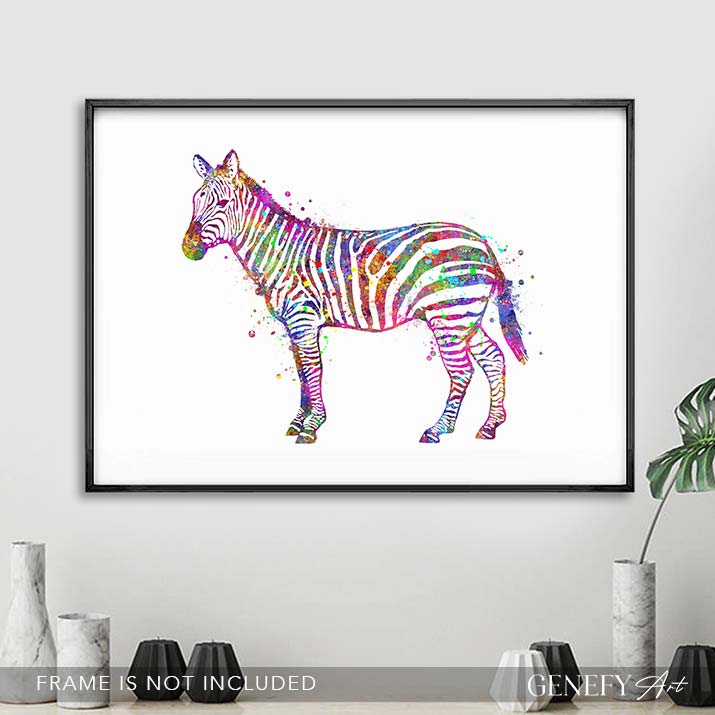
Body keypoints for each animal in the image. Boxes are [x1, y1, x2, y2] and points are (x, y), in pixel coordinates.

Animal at [182, 150, 528, 444]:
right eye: (195, 200)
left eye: (223, 203)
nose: (189, 248)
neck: (280, 251)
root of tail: (482, 242)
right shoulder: (293, 325)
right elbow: (301, 372)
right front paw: (298, 421)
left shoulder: (303, 318)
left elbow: (312, 370)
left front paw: (311, 427)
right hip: (464, 317)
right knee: (493, 358)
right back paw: (490, 425)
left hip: (450, 316)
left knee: (463, 371)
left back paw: (437, 429)